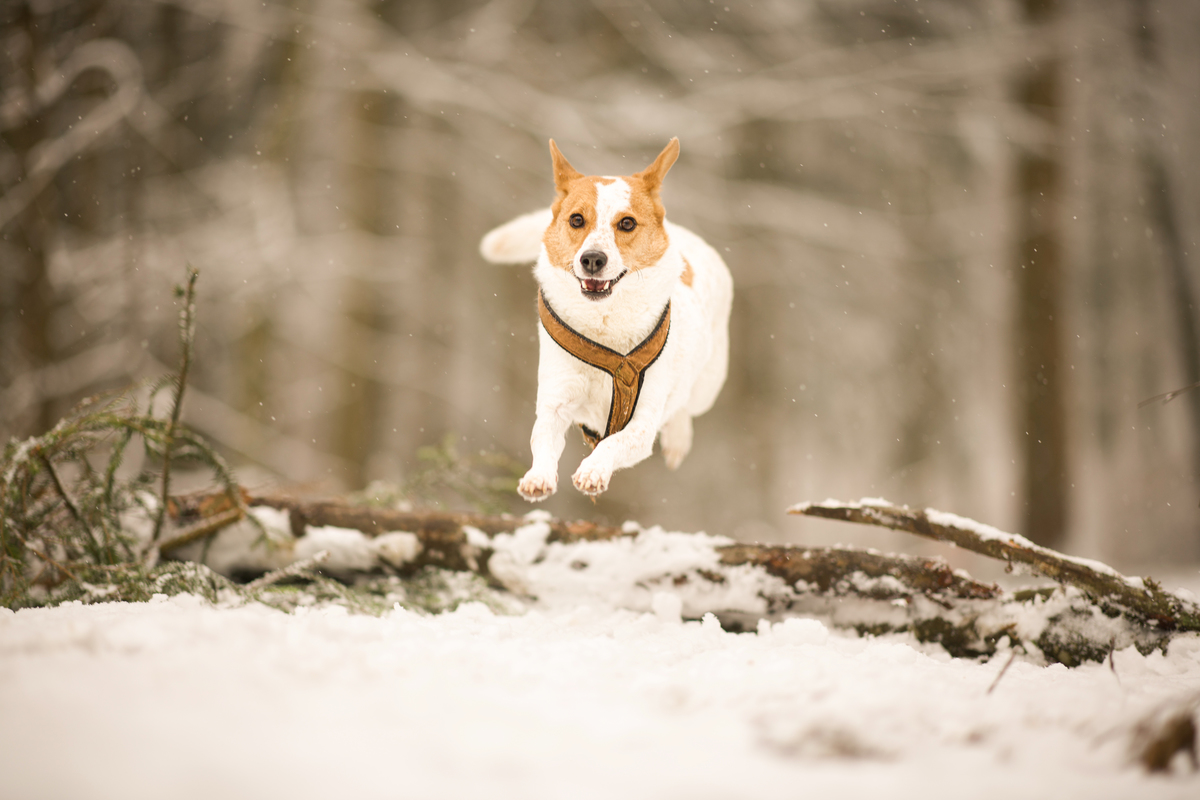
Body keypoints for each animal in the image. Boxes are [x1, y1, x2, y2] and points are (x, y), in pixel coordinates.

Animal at [477, 137, 729, 501]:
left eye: (627, 223)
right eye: (576, 220)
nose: (592, 259)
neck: (605, 322)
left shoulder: (643, 421)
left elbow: (614, 443)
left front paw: (593, 471)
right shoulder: (556, 398)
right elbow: (542, 439)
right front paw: (537, 477)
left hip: (707, 384)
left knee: (684, 407)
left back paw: (677, 439)